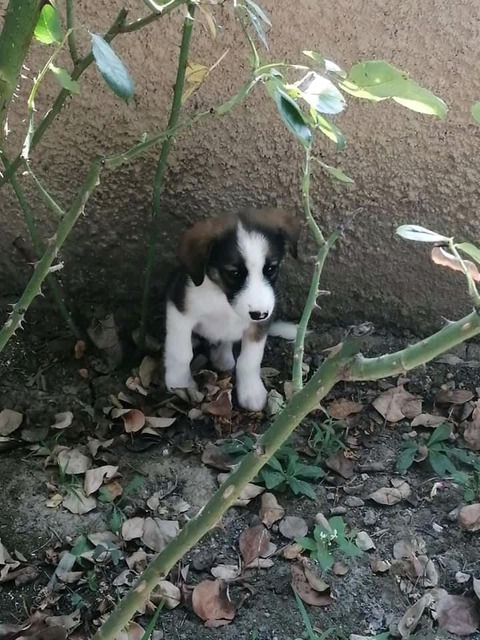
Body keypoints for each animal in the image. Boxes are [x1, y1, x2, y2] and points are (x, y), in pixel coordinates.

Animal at [165, 208, 300, 412]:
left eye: (270, 268)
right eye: (234, 273)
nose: (260, 314)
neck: (223, 298)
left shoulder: (258, 326)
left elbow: (249, 360)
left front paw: (251, 392)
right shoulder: (180, 312)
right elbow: (181, 353)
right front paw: (179, 383)